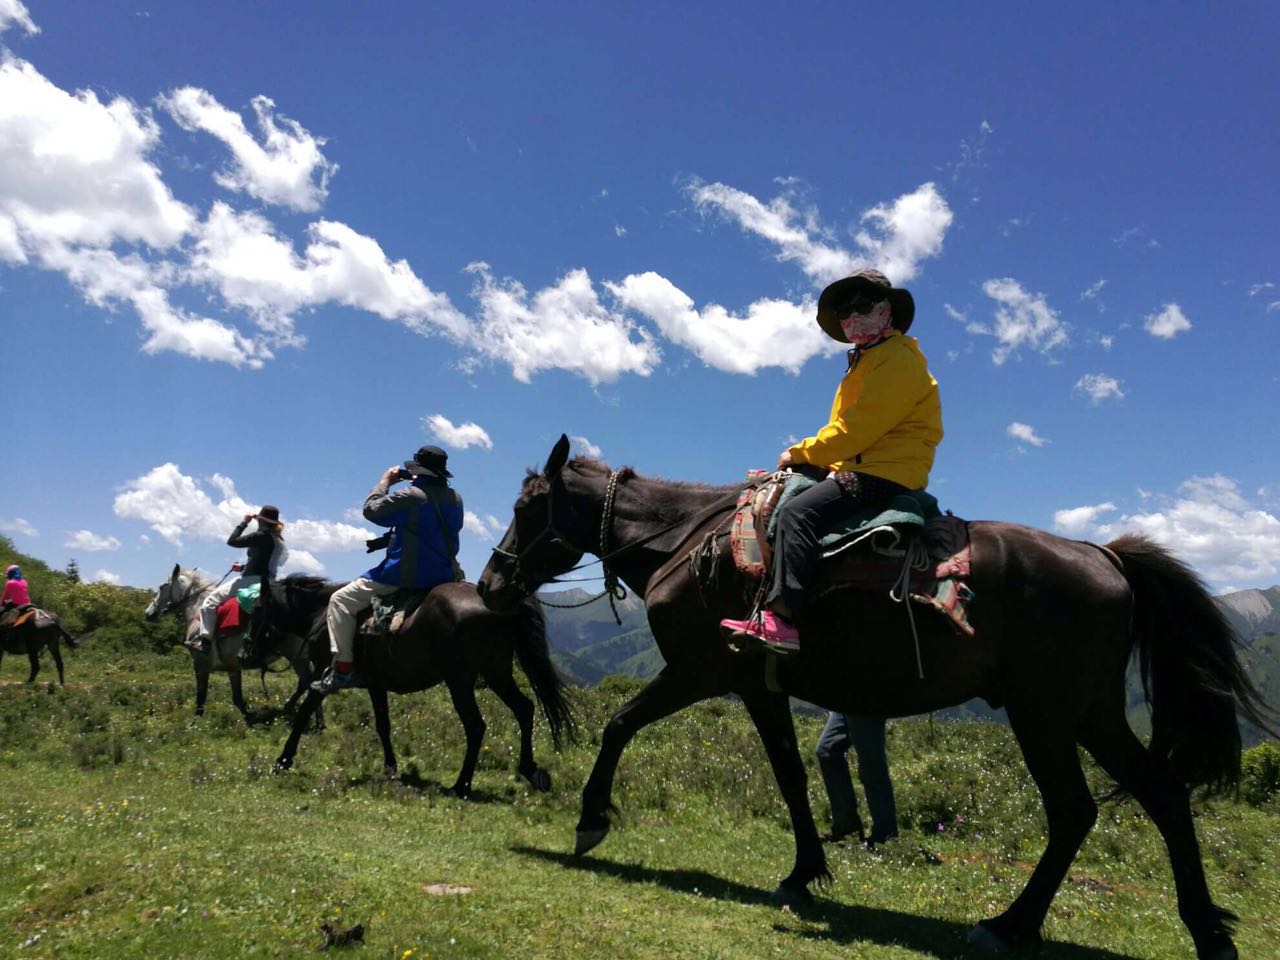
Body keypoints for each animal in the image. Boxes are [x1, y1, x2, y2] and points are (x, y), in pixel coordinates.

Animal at [145, 563, 322, 721]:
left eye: (162, 587)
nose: (148, 613)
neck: (196, 610)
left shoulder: (201, 664)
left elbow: (202, 696)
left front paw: (194, 722)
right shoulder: (232, 666)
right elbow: (237, 698)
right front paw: (249, 719)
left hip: (298, 658)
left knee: (308, 684)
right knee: (307, 684)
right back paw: (291, 709)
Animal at [273, 578, 576, 798]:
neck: (322, 614)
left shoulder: (323, 674)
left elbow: (303, 713)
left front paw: (284, 760)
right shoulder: (376, 684)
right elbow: (383, 725)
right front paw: (391, 766)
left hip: (461, 680)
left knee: (476, 726)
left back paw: (461, 785)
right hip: (497, 673)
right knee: (524, 708)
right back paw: (529, 770)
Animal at [478, 437, 1269, 960]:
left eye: (525, 506)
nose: (489, 582)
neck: (690, 542)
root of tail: (1101, 554)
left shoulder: (701, 673)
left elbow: (618, 725)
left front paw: (590, 820)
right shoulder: (759, 686)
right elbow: (792, 776)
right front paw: (805, 872)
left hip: (1044, 712)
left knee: (1074, 810)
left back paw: (1008, 925)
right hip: (1089, 711)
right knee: (1161, 795)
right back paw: (1206, 932)